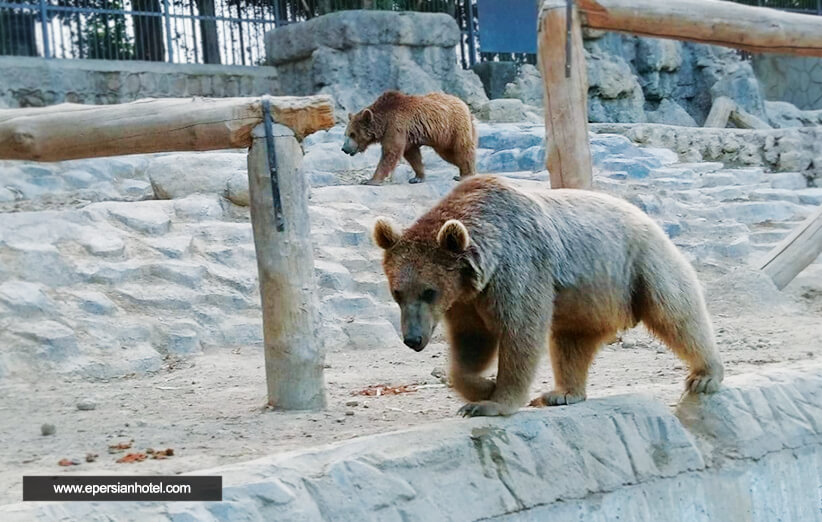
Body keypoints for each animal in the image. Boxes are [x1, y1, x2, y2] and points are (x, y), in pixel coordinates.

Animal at [344, 90, 480, 185]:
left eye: (352, 134)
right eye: (346, 134)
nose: (344, 148)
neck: (383, 121)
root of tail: (464, 105)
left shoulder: (396, 125)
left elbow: (391, 152)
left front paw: (370, 180)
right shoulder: (408, 136)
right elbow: (413, 155)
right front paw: (417, 178)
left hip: (455, 127)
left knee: (462, 149)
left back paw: (466, 174)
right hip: (444, 138)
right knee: (450, 154)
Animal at [376, 177, 724, 416]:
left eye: (429, 291)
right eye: (397, 292)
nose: (413, 338)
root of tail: (646, 217)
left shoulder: (518, 269)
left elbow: (521, 333)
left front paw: (493, 401)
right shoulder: (467, 301)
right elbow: (471, 343)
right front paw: (482, 388)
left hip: (640, 266)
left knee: (678, 314)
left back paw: (706, 375)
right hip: (586, 300)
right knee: (572, 342)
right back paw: (562, 393)